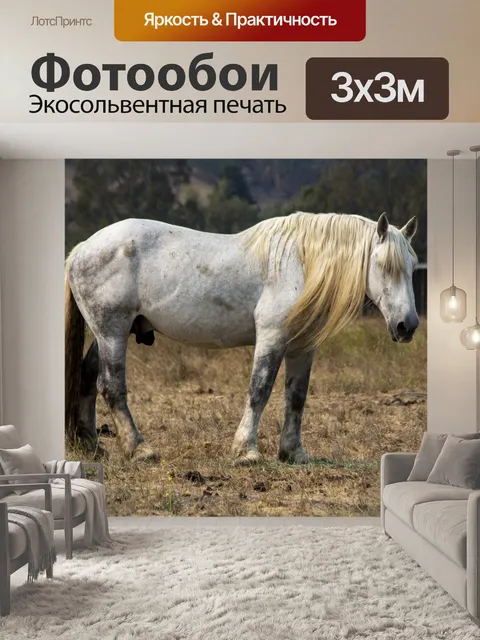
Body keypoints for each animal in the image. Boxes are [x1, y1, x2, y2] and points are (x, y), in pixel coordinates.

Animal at [65, 211, 419, 464]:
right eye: (384, 265)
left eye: (413, 266)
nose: (408, 325)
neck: (301, 265)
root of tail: (81, 249)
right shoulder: (271, 339)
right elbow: (259, 390)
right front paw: (246, 450)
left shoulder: (303, 348)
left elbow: (297, 397)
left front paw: (293, 453)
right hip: (112, 331)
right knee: (111, 386)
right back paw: (139, 449)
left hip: (109, 333)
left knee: (88, 378)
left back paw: (93, 446)